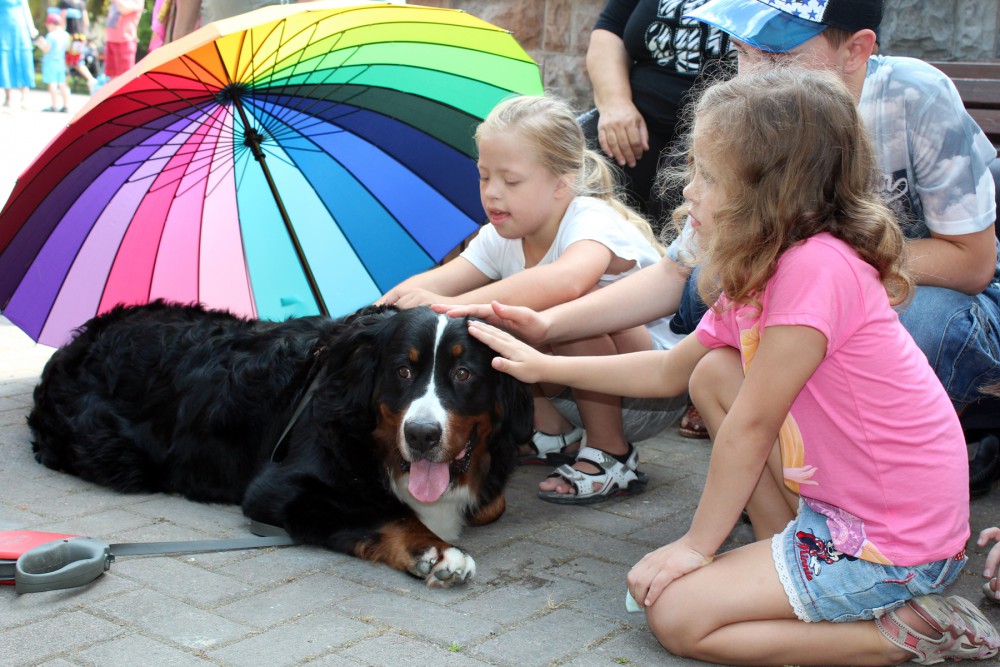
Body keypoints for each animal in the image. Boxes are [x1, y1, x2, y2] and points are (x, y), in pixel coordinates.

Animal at [28, 301, 533, 587]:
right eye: (403, 371)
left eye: (463, 373)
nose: (422, 435)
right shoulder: (280, 488)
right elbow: (387, 511)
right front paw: (435, 551)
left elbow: (493, 501)